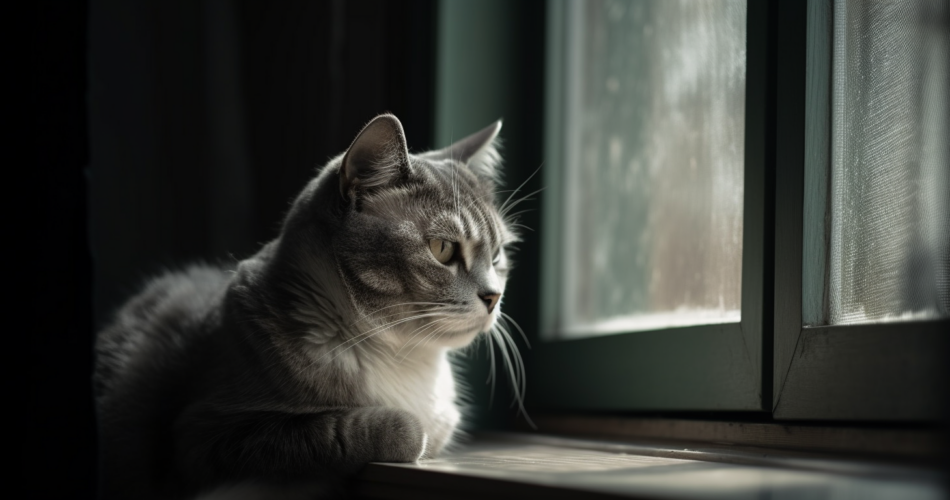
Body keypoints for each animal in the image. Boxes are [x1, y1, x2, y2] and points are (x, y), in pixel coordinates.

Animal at [95, 115, 528, 498]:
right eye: (442, 249)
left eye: (498, 257)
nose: (494, 296)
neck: (402, 358)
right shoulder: (203, 434)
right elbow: (333, 432)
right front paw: (404, 429)